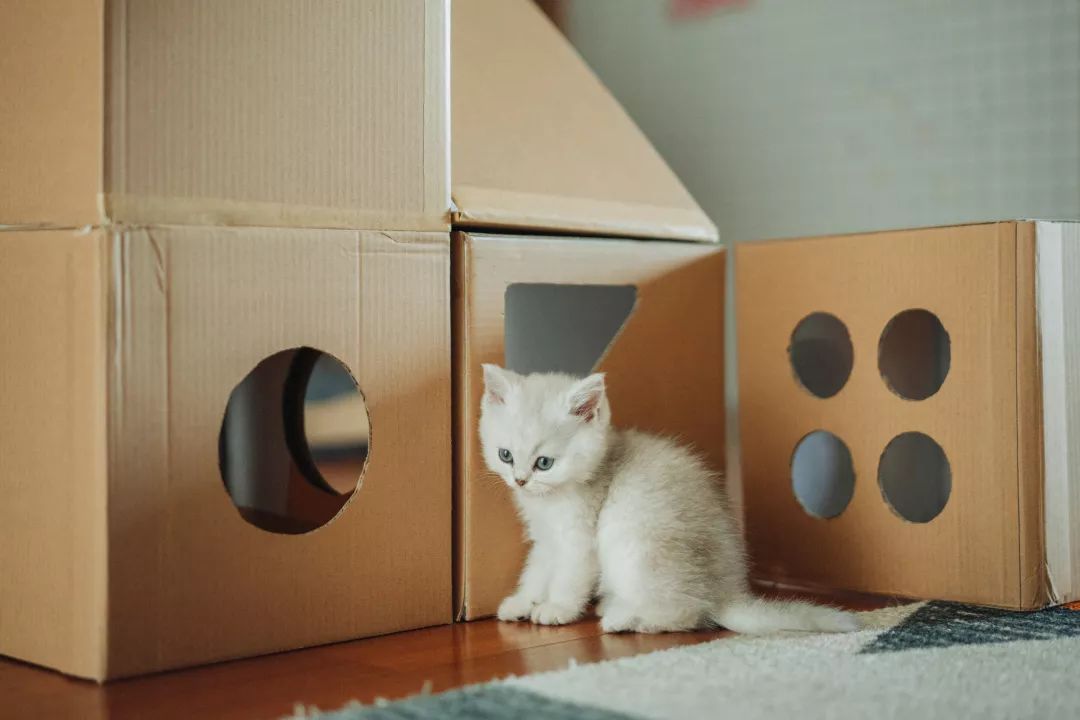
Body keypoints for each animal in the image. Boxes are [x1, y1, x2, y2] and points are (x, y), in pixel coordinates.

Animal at [481, 367, 859, 634]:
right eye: (505, 455)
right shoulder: (546, 538)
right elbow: (537, 569)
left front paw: (557, 608)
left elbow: (568, 576)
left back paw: (625, 620)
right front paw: (522, 602)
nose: (520, 480)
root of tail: (725, 594)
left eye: (544, 463)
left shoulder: (579, 539)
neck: (552, 499)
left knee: (687, 613)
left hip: (631, 537)